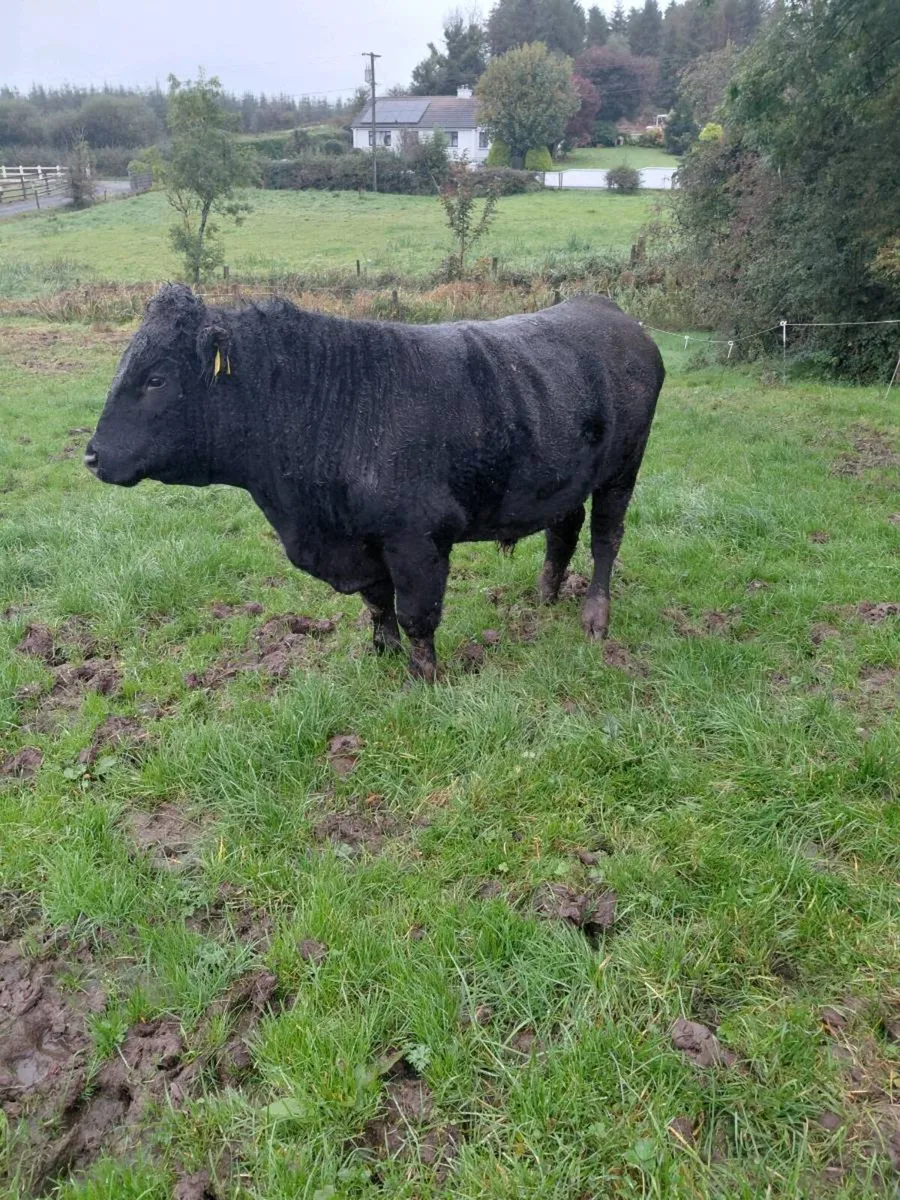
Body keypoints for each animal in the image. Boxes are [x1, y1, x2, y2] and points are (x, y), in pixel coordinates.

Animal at [85, 285, 664, 680]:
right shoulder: (360, 543)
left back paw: (594, 617)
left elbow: (417, 614)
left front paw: (424, 676)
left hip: (622, 471)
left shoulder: (417, 538)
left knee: (605, 539)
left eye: (156, 378)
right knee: (563, 529)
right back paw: (544, 596)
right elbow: (377, 604)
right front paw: (382, 656)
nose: (92, 455)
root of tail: (607, 309)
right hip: (563, 476)